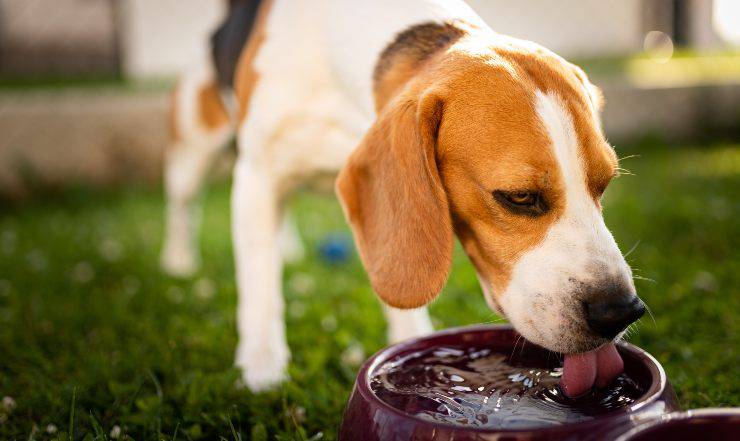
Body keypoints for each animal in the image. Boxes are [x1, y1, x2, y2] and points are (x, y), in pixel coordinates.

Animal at [160, 0, 640, 396]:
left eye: (604, 185)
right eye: (519, 197)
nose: (621, 311)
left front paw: (409, 342)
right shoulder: (257, 175)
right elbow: (260, 284)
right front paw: (262, 369)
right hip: (197, 149)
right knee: (184, 205)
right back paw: (179, 262)